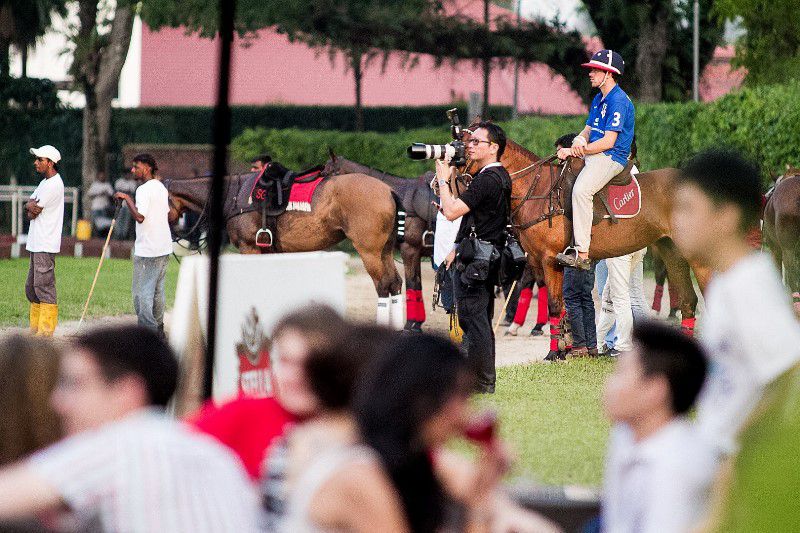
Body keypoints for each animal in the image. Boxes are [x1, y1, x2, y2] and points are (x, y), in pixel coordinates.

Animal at [169, 164, 406, 326]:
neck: (235, 195)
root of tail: (388, 190)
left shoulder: (249, 248)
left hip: (369, 251)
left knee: (383, 285)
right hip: (385, 251)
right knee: (394, 283)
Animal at [324, 152, 438, 330]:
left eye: (327, 173)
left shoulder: (410, 250)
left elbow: (412, 283)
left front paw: (411, 324)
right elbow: (414, 283)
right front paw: (416, 323)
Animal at [460, 132, 708, 358]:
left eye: (464, 147)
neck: (538, 191)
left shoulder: (550, 259)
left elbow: (554, 304)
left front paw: (555, 352)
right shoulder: (537, 261)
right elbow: (560, 305)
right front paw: (565, 348)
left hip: (697, 257)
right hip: (671, 250)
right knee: (688, 299)